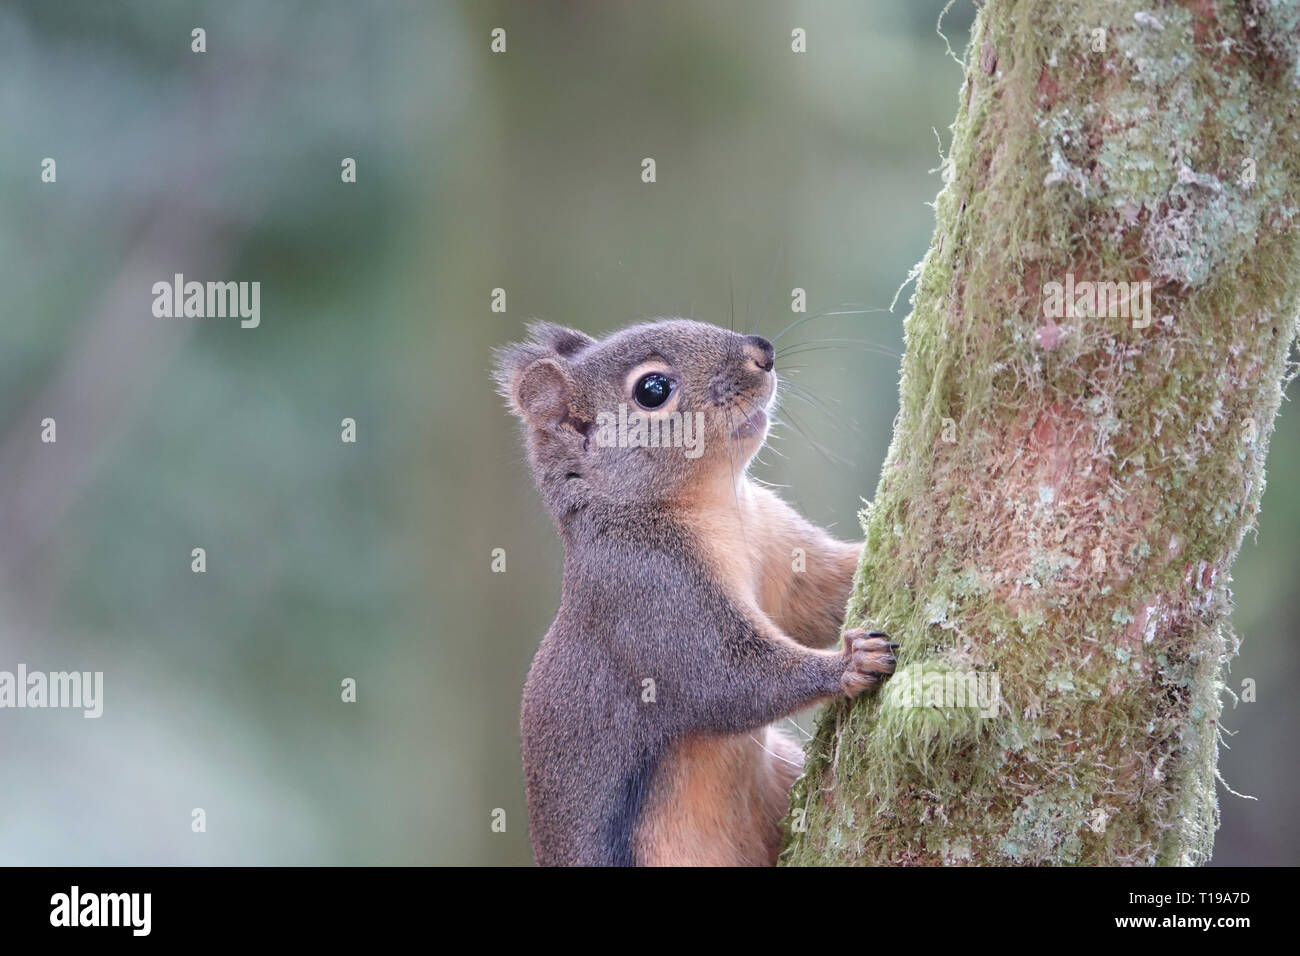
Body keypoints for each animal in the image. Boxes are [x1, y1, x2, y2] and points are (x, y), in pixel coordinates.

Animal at [494, 318, 896, 866]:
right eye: (652, 389)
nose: (763, 353)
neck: (716, 502)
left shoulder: (777, 546)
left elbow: (823, 594)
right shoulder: (653, 593)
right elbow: (728, 678)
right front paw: (850, 663)